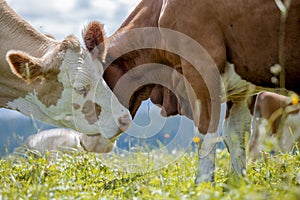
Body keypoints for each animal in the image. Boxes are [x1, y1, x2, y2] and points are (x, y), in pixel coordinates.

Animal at [82, 0, 300, 184]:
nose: (83, 142)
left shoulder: (201, 68)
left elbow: (206, 134)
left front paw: (204, 185)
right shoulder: (241, 92)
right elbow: (235, 135)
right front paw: (238, 183)